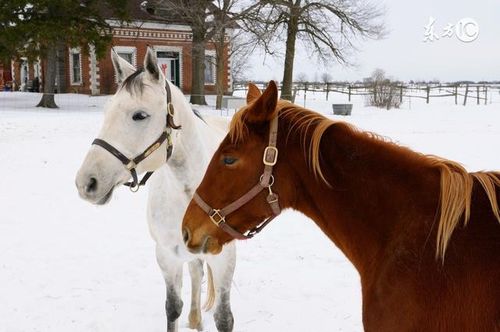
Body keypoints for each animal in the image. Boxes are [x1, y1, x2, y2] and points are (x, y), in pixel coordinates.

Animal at [75, 49, 237, 332]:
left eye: (140, 115)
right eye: (106, 111)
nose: (86, 182)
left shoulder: (224, 259)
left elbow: (224, 318)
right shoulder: (167, 256)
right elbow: (173, 308)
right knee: (196, 271)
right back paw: (195, 319)